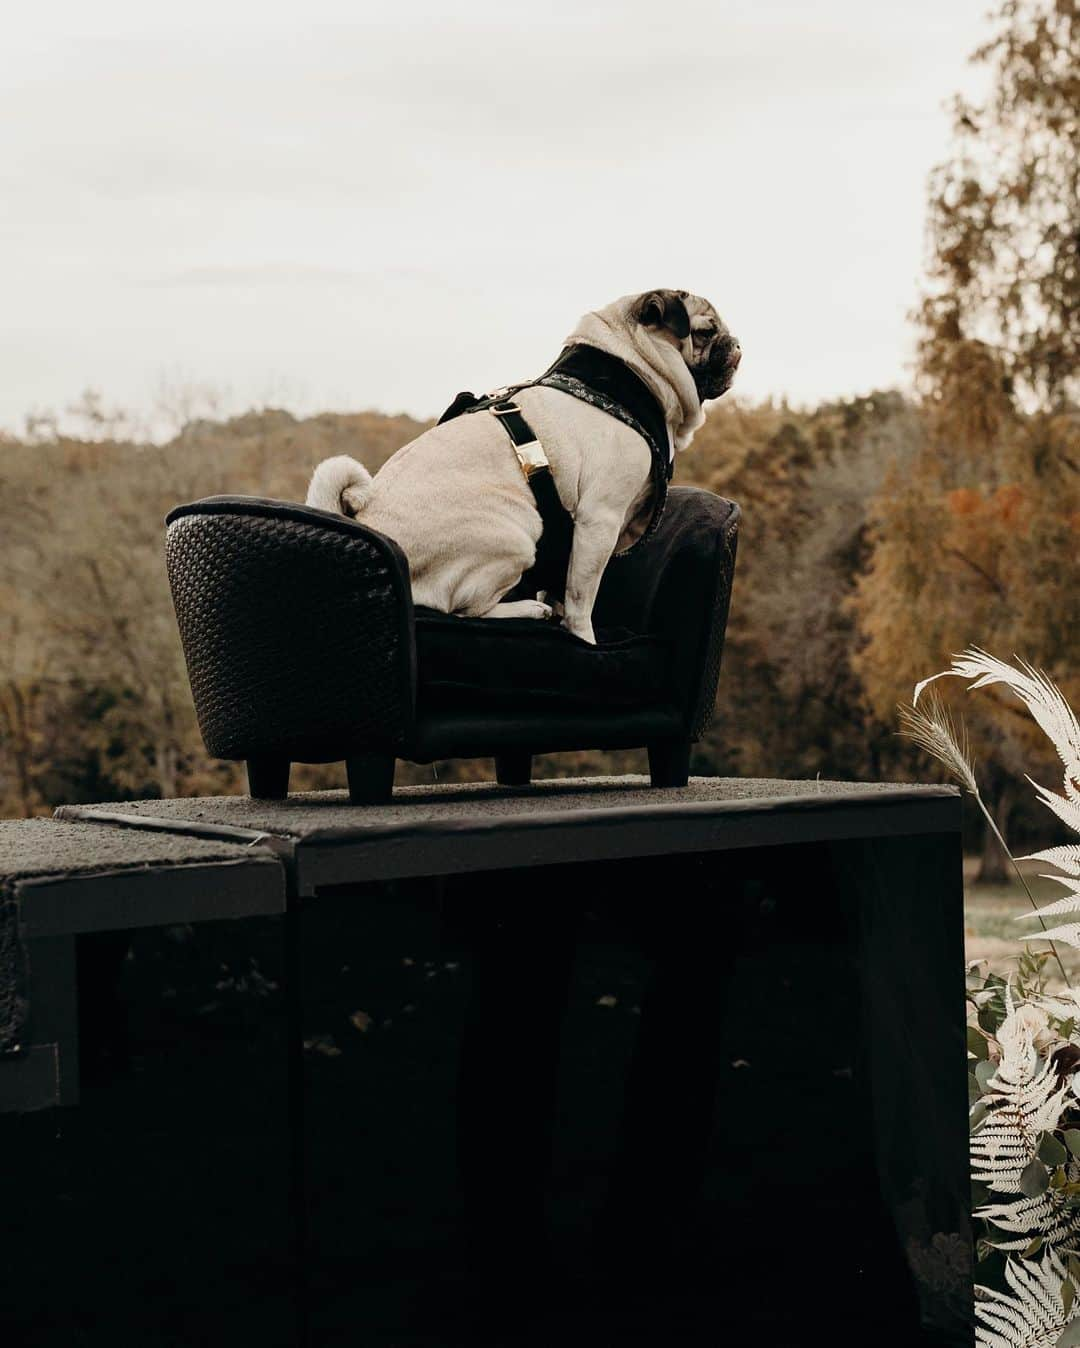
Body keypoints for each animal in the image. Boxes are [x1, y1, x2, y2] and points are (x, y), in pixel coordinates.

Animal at [306, 288, 744, 641]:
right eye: (705, 332)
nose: (735, 342)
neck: (632, 369)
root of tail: (367, 519)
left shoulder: (578, 538)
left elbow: (564, 583)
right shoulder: (599, 521)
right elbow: (582, 598)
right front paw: (583, 638)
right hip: (519, 530)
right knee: (464, 608)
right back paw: (527, 609)